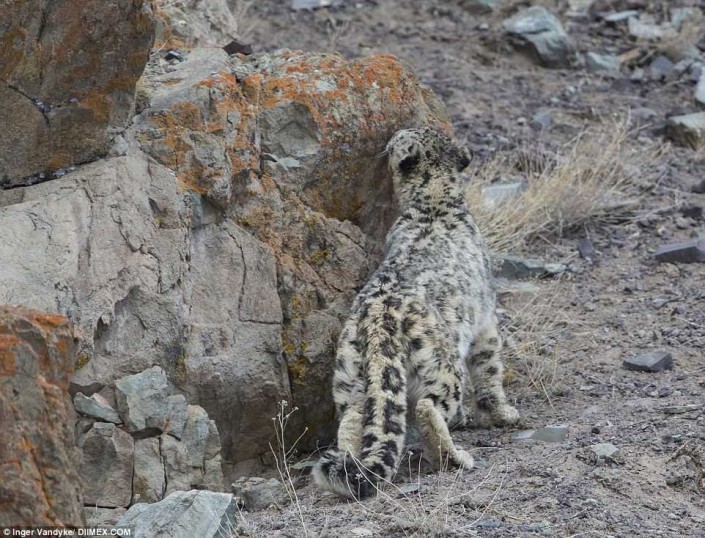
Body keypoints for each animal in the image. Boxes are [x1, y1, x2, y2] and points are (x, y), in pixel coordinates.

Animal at [312, 127, 520, 500]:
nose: (389, 139)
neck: (435, 200)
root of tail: (378, 321)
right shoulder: (486, 322)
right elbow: (490, 369)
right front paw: (501, 412)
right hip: (441, 367)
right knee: (427, 406)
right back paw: (456, 456)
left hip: (349, 375)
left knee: (353, 418)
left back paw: (347, 468)